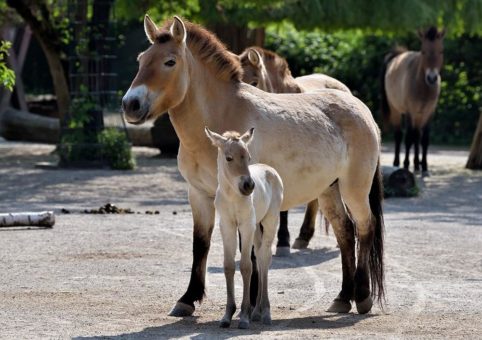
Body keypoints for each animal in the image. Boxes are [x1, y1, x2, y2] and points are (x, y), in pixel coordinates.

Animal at [206, 126, 282, 328]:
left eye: (248, 157)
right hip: (256, 227)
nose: (248, 186)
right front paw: (227, 315)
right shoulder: (227, 226)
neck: (233, 196)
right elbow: (228, 266)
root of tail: (269, 169)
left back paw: (265, 312)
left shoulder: (245, 226)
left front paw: (244, 316)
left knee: (264, 258)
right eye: (229, 158)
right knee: (260, 257)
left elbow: (247, 266)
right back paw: (257, 312)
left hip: (270, 221)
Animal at [380, 26, 444, 175]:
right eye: (423, 51)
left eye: (440, 51)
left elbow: (424, 139)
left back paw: (417, 164)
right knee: (399, 135)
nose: (432, 78)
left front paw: (424, 166)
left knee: (417, 135)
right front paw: (406, 164)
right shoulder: (410, 112)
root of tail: (397, 55)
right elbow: (409, 137)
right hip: (396, 110)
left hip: (419, 115)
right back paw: (397, 162)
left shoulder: (429, 113)